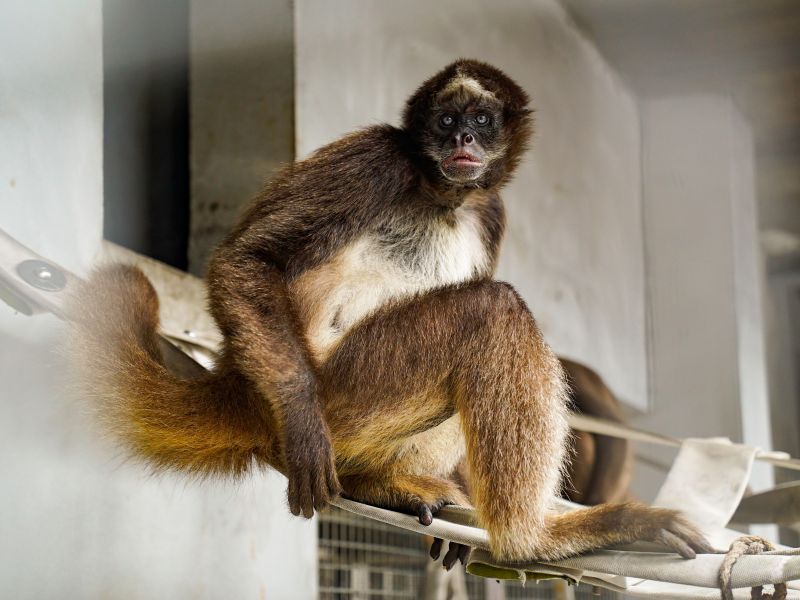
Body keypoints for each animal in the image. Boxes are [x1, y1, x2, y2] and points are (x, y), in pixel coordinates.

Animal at [72, 61, 708, 568]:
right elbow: (248, 259)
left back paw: (379, 483)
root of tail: (237, 383)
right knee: (491, 308)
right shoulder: (375, 154)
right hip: (343, 389)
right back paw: (530, 541)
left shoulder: (492, 210)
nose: (465, 139)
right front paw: (303, 424)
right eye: (447, 121)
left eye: (483, 120)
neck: (443, 196)